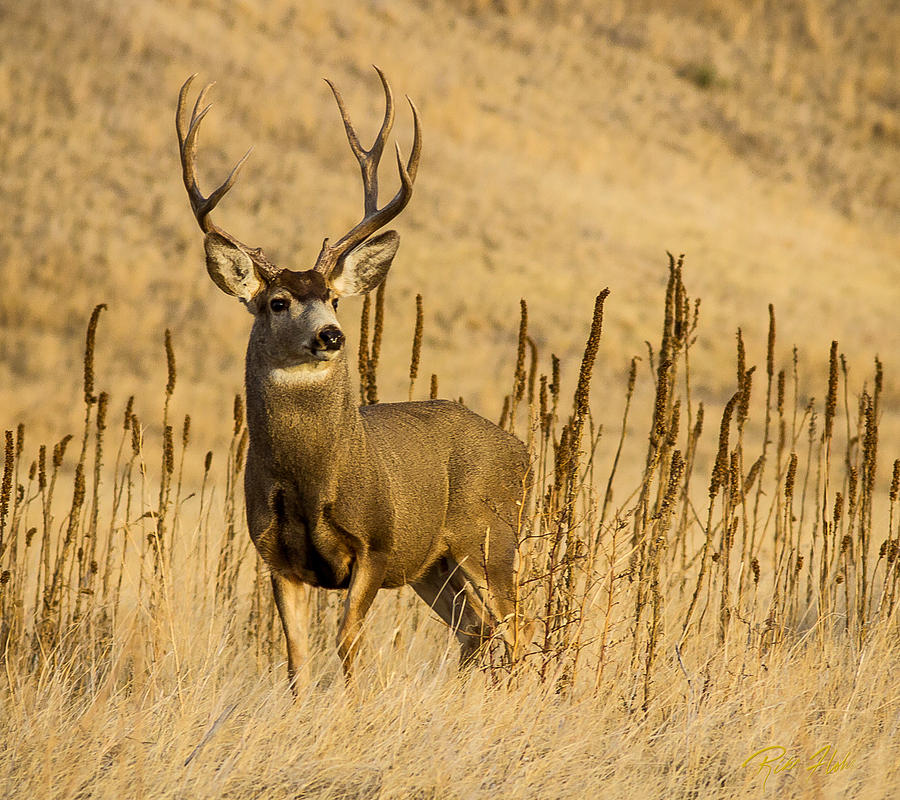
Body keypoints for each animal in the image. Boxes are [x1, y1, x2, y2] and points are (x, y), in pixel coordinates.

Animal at [176, 69, 532, 688]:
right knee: (474, 627)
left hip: (490, 538)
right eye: (277, 301)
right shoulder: (275, 556)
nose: (331, 335)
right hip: (436, 562)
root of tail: (522, 451)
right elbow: (296, 657)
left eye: (336, 298)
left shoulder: (377, 544)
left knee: (518, 624)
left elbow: (347, 643)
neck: (312, 480)